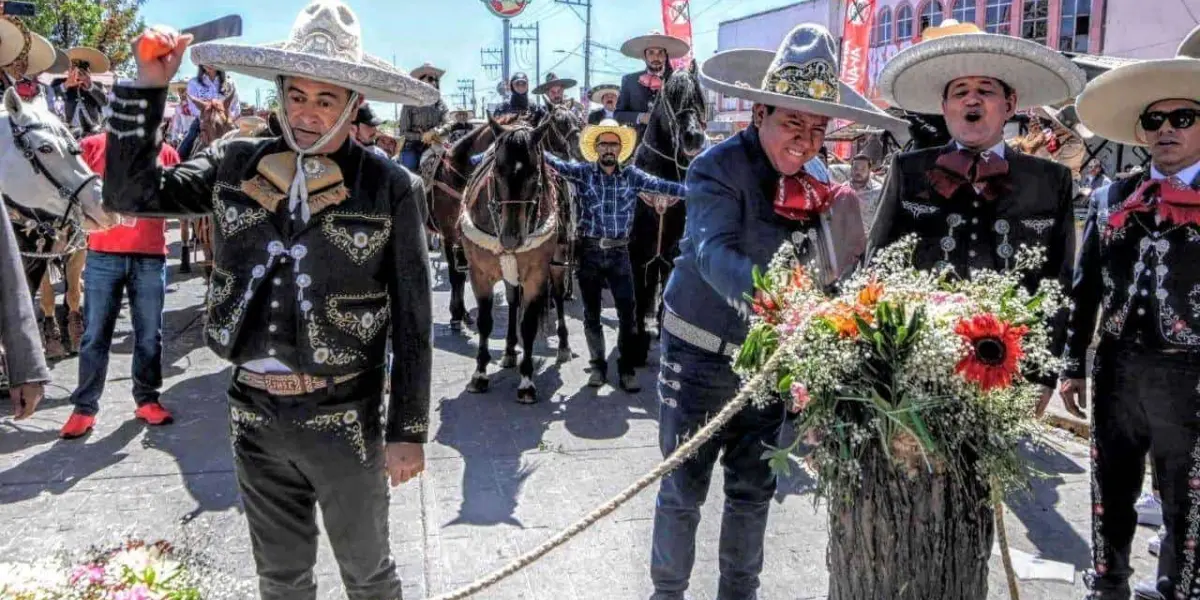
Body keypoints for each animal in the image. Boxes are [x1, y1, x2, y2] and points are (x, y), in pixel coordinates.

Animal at [458, 118, 571, 403]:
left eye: (534, 174)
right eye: (497, 171)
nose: (510, 238)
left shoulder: (536, 275)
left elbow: (528, 325)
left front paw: (527, 381)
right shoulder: (478, 273)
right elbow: (485, 322)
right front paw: (480, 374)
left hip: (558, 262)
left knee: (559, 297)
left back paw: (563, 346)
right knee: (511, 302)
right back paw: (509, 350)